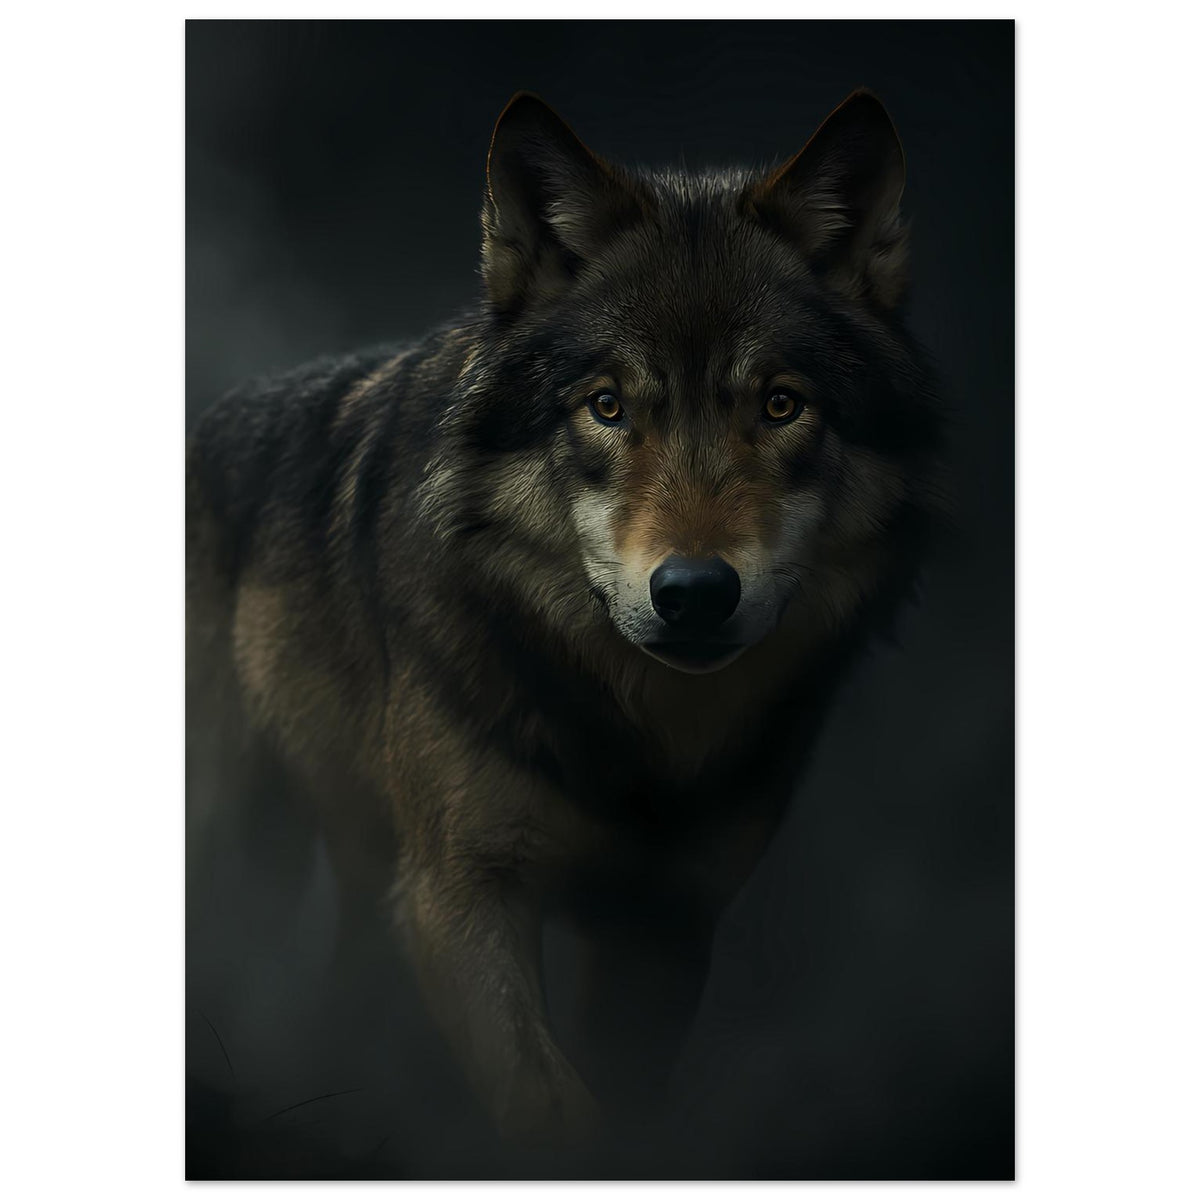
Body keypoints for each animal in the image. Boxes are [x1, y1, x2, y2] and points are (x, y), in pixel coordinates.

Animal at [186, 89, 944, 1146]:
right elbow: (549, 1107)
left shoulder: (666, 927)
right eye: (608, 406)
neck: (637, 739)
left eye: (781, 406)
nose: (695, 591)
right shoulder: (458, 895)